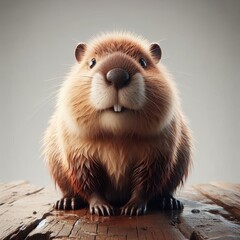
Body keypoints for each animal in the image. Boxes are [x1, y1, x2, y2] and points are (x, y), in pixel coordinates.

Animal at [43, 31, 193, 217]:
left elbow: (146, 183)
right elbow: (89, 182)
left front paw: (132, 208)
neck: (117, 134)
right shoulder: (78, 152)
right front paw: (102, 208)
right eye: (92, 62)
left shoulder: (158, 153)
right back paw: (67, 202)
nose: (117, 76)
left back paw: (170, 202)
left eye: (143, 62)